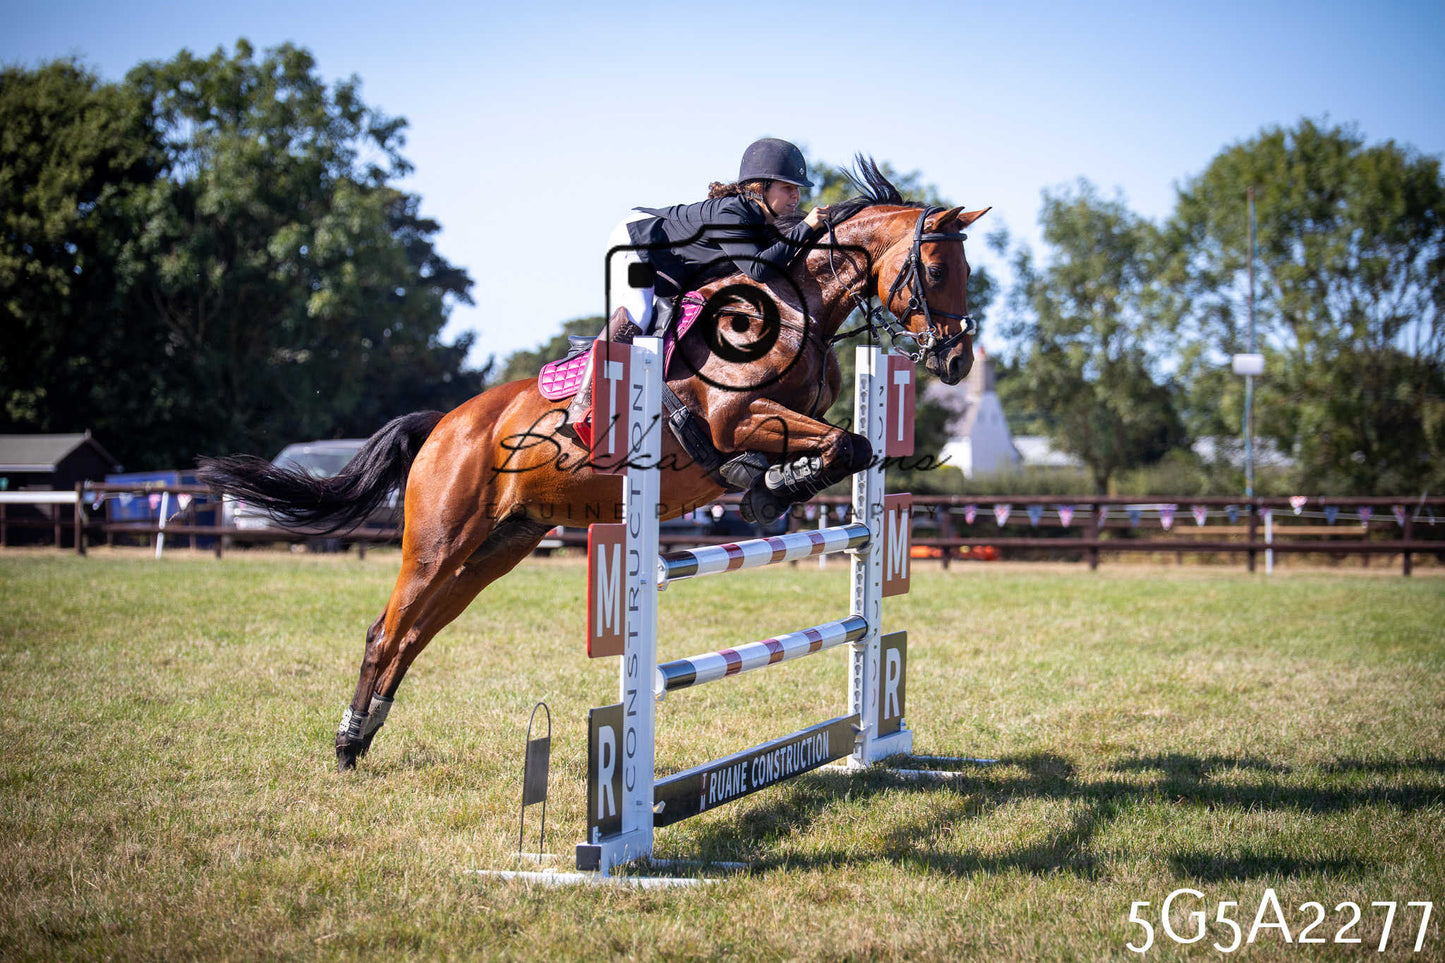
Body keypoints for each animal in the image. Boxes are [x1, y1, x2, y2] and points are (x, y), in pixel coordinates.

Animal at [197, 161, 989, 771]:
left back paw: (365, 735)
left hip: (498, 546)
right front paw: (767, 486)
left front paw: (770, 488)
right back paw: (344, 743)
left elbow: (846, 447)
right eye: (937, 266)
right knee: (386, 632)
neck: (796, 309)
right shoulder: (731, 418)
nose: (956, 360)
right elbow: (840, 445)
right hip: (438, 540)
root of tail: (444, 425)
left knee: (417, 633)